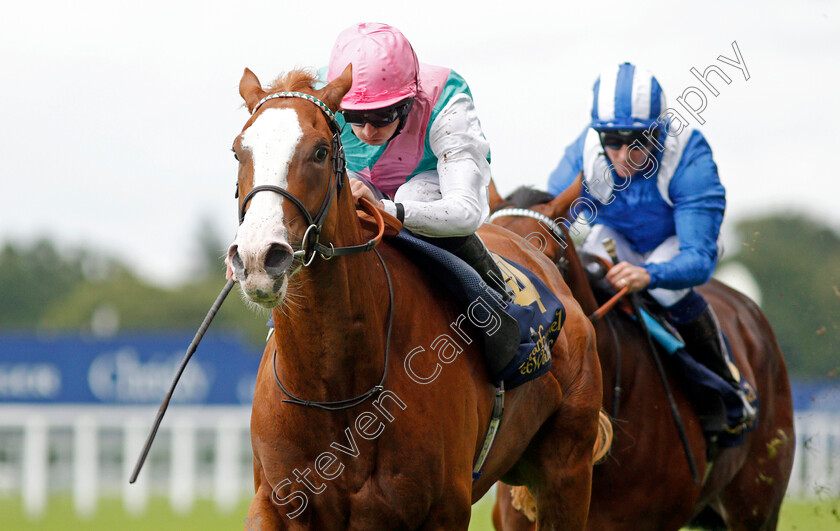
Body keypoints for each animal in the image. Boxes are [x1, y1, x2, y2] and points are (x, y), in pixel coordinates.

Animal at [226, 67, 612, 531]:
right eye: (238, 152)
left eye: (320, 151)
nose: (257, 258)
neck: (334, 386)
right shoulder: (276, 501)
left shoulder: (443, 509)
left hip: (566, 469)